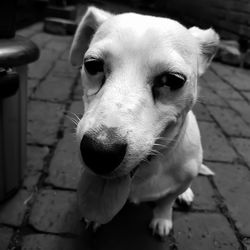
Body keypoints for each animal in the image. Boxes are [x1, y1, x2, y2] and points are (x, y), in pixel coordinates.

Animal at [69, 6, 218, 238]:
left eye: (173, 80)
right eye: (92, 65)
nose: (100, 152)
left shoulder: (180, 181)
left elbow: (167, 201)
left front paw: (162, 218)